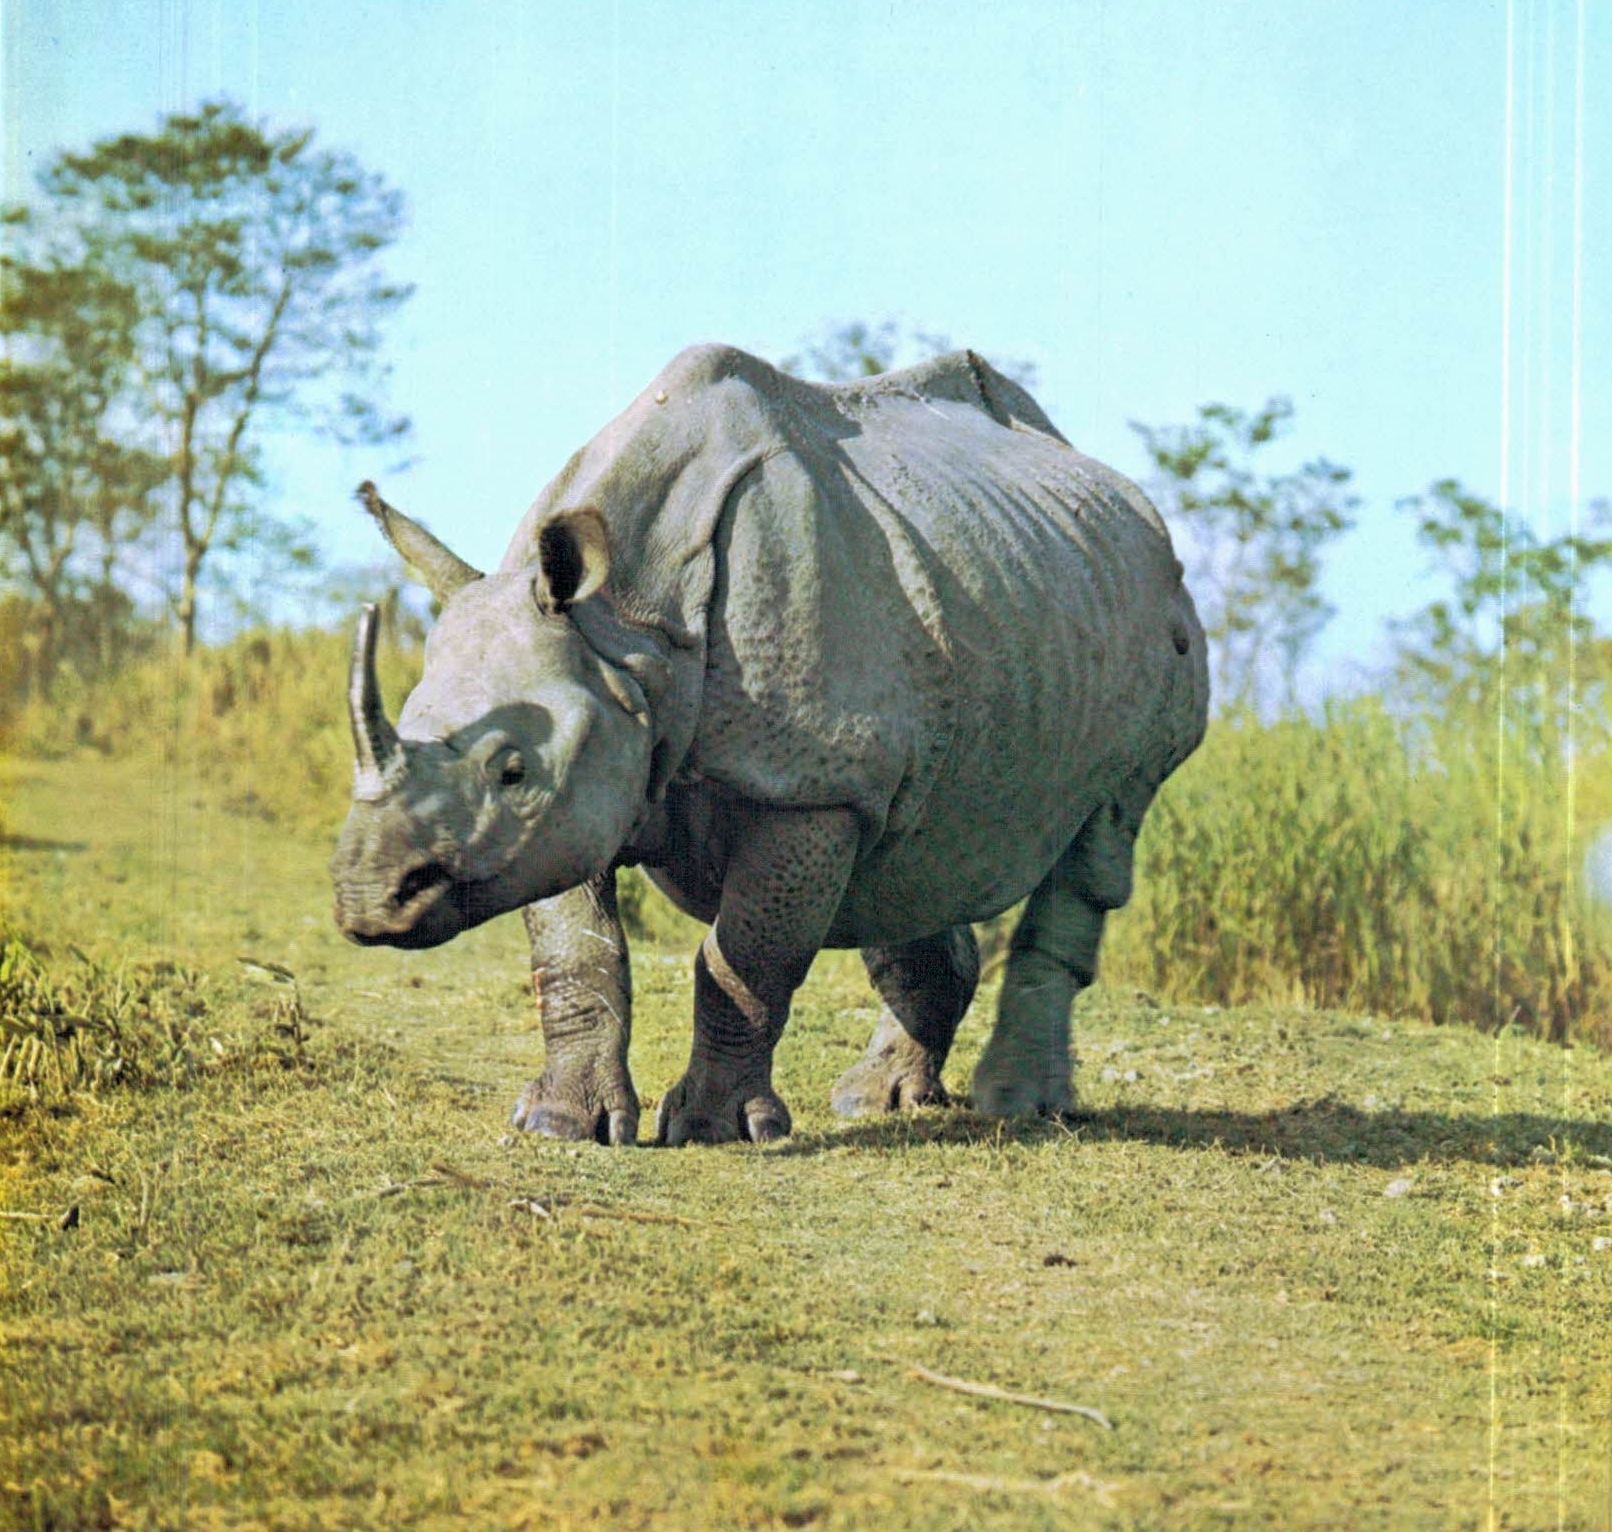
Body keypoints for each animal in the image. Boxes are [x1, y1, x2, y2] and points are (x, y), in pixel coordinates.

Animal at [330, 344, 1207, 1146]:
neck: (627, 635)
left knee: (1100, 831)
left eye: (510, 769)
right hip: (995, 595)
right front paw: (558, 1124)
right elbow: (576, 951)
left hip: (1160, 623)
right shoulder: (572, 787)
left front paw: (717, 1130)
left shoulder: (804, 785)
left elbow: (744, 957)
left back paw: (1020, 1106)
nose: (370, 897)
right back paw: (879, 1100)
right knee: (915, 849)